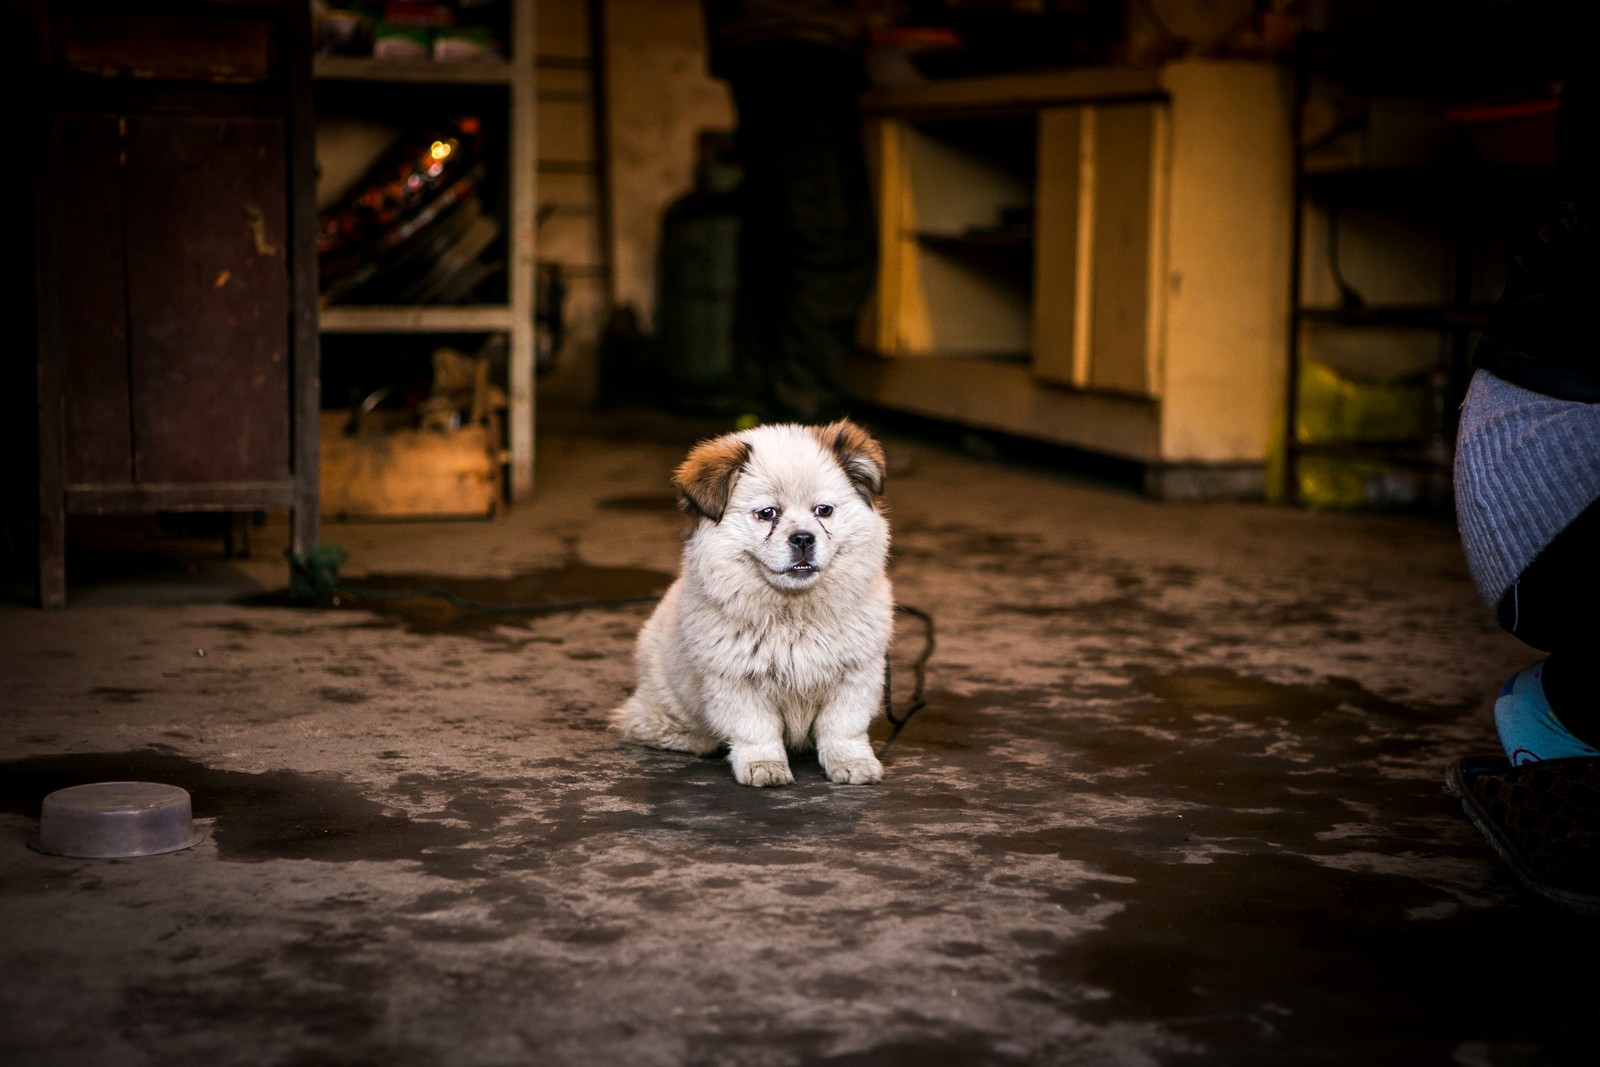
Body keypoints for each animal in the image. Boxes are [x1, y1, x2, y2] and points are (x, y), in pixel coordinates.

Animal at [612, 419, 894, 786]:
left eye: (824, 511)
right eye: (767, 514)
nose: (803, 538)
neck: (793, 612)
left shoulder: (855, 676)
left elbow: (842, 729)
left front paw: (852, 764)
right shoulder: (737, 682)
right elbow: (757, 733)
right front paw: (764, 768)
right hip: (662, 704)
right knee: (646, 725)